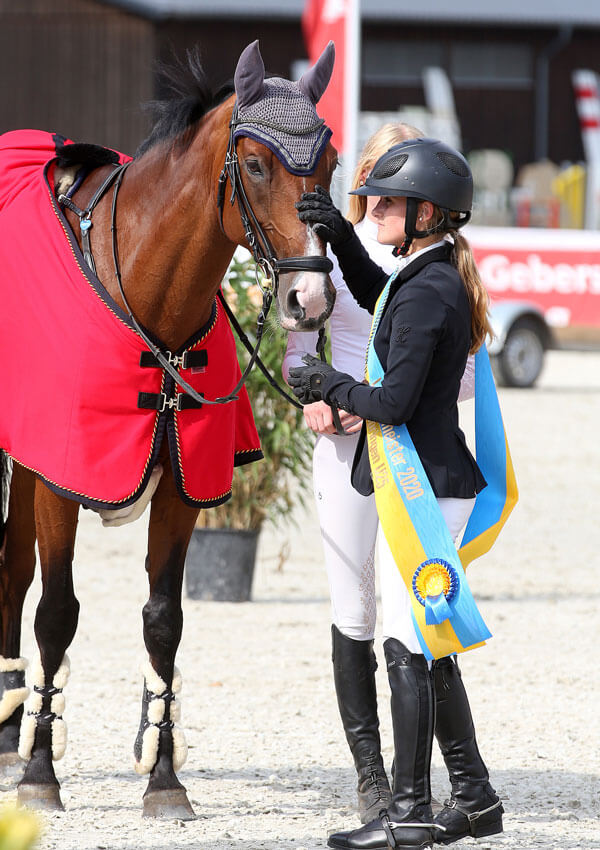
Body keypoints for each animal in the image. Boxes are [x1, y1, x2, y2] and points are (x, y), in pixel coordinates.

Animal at [0, 38, 338, 816]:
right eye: (255, 163)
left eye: (332, 163)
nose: (309, 297)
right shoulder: (62, 473)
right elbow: (56, 612)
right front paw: (40, 773)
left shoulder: (185, 487)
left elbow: (164, 619)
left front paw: (163, 774)